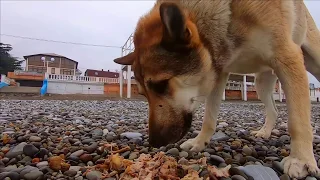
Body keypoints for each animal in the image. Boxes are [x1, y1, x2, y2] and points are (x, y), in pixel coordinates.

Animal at [114, 0, 320, 177]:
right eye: (142, 93)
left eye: (161, 84)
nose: (154, 142)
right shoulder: (218, 73)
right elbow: (209, 117)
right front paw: (199, 142)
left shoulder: (288, 58)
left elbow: (298, 121)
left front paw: (301, 160)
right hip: (261, 82)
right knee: (273, 109)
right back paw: (265, 132)